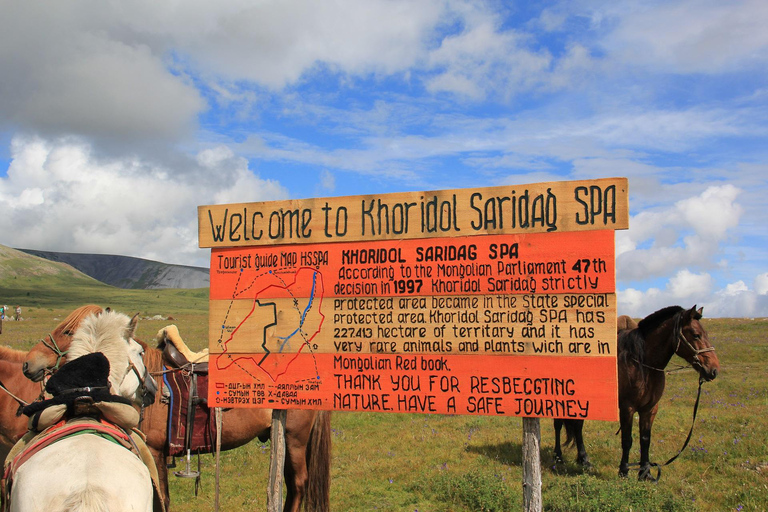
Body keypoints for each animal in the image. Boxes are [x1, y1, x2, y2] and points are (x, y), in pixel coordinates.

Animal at [552, 304, 720, 480]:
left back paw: (583, 460)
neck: (642, 363)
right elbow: (627, 440)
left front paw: (645, 473)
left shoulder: (650, 409)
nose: (713, 370)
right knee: (558, 424)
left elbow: (645, 439)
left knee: (577, 426)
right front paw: (624, 471)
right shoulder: (628, 408)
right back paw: (558, 457)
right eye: (696, 335)